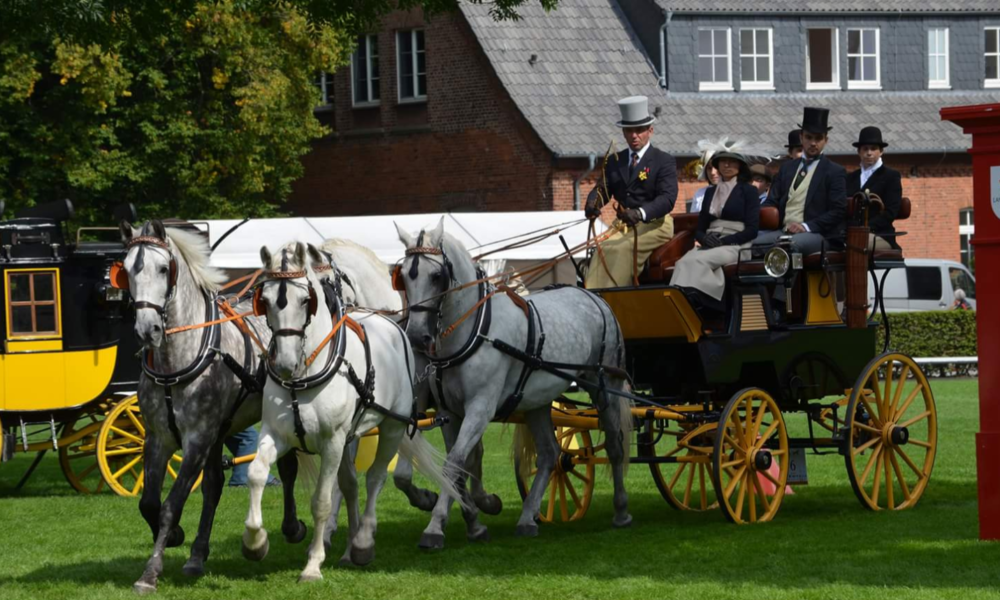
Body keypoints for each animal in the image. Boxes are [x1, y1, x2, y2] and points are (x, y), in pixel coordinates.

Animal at [117, 218, 306, 592]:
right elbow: (149, 502)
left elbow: (171, 504)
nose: (148, 330)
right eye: (126, 269)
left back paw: (293, 528)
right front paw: (176, 538)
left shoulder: (197, 438)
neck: (177, 360)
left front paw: (150, 572)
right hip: (221, 430)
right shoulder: (158, 438)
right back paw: (197, 555)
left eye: (163, 269)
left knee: (288, 469)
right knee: (214, 485)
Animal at [242, 240, 460, 580]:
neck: (302, 376)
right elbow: (255, 473)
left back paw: (362, 542)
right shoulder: (277, 433)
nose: (285, 363)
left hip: (391, 428)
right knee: (351, 484)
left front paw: (313, 564)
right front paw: (255, 542)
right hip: (349, 438)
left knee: (375, 477)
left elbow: (321, 500)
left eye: (306, 300)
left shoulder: (331, 441)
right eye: (263, 301)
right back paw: (349, 546)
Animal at [392, 217, 632, 548]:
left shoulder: (480, 408)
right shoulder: (449, 413)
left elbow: (454, 463)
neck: (473, 329)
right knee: (550, 454)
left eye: (437, 275)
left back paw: (621, 511)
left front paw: (436, 526)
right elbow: (458, 465)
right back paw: (528, 517)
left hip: (605, 385)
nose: (416, 336)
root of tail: (594, 297)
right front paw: (473, 520)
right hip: (538, 401)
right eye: (403, 276)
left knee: (614, 445)